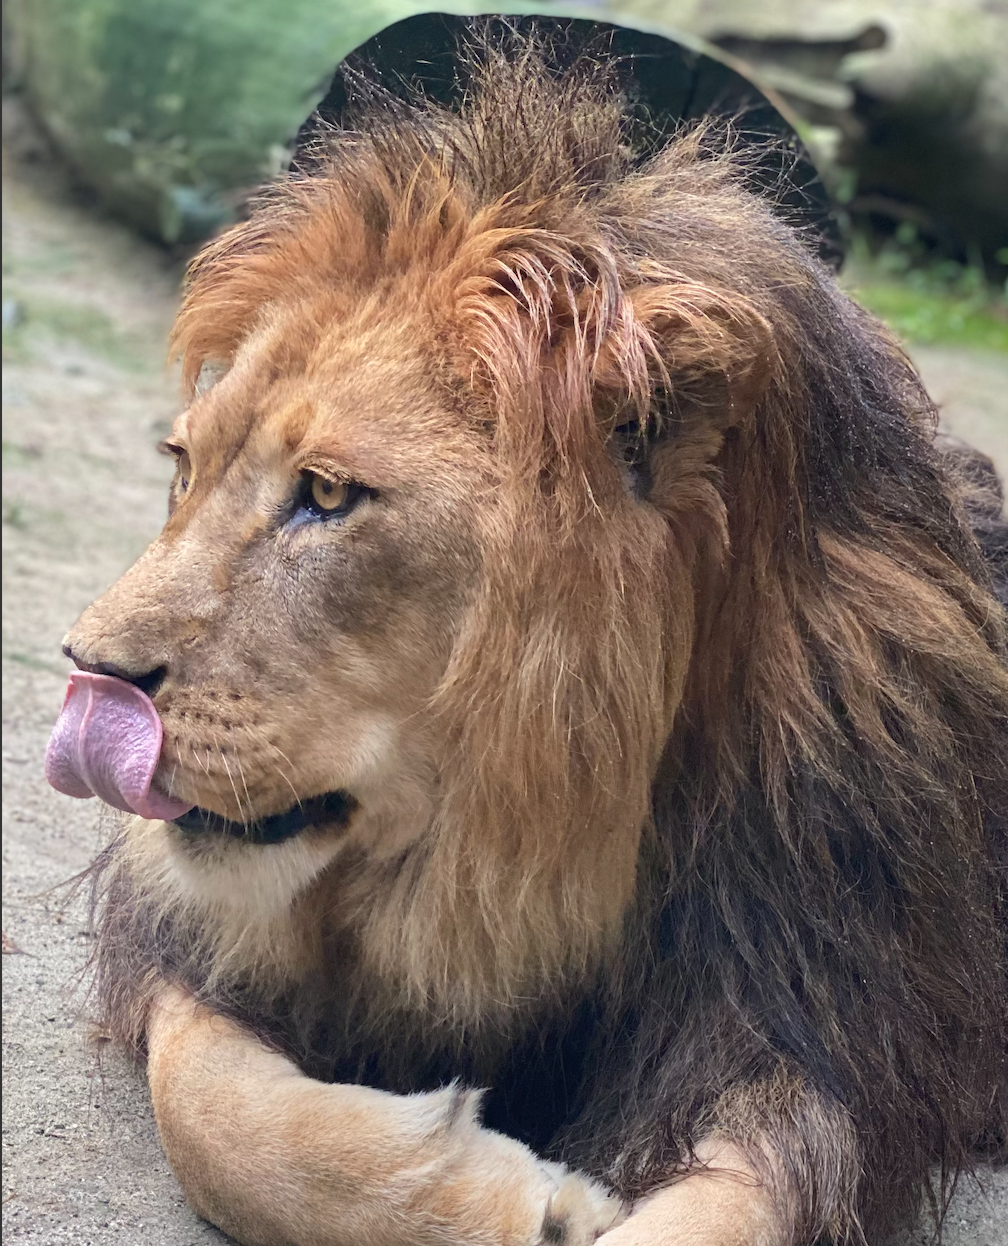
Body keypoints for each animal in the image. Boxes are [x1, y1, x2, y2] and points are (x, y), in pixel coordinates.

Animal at [46, 23, 1008, 1246]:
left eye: (326, 494)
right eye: (183, 466)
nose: (87, 677)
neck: (526, 850)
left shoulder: (820, 1019)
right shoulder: (189, 951)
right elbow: (214, 1114)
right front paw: (514, 1195)